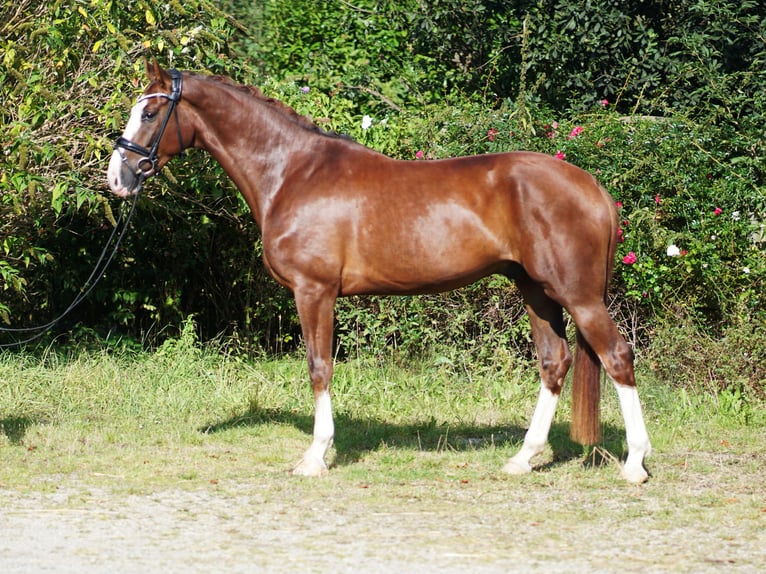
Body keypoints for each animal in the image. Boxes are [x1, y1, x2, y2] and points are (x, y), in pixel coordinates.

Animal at [109, 62, 656, 486]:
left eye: (150, 112)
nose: (118, 177)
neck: (292, 173)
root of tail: (592, 187)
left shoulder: (315, 292)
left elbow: (319, 367)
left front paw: (315, 457)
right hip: (535, 291)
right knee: (554, 362)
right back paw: (522, 459)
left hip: (578, 296)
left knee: (617, 356)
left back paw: (634, 464)